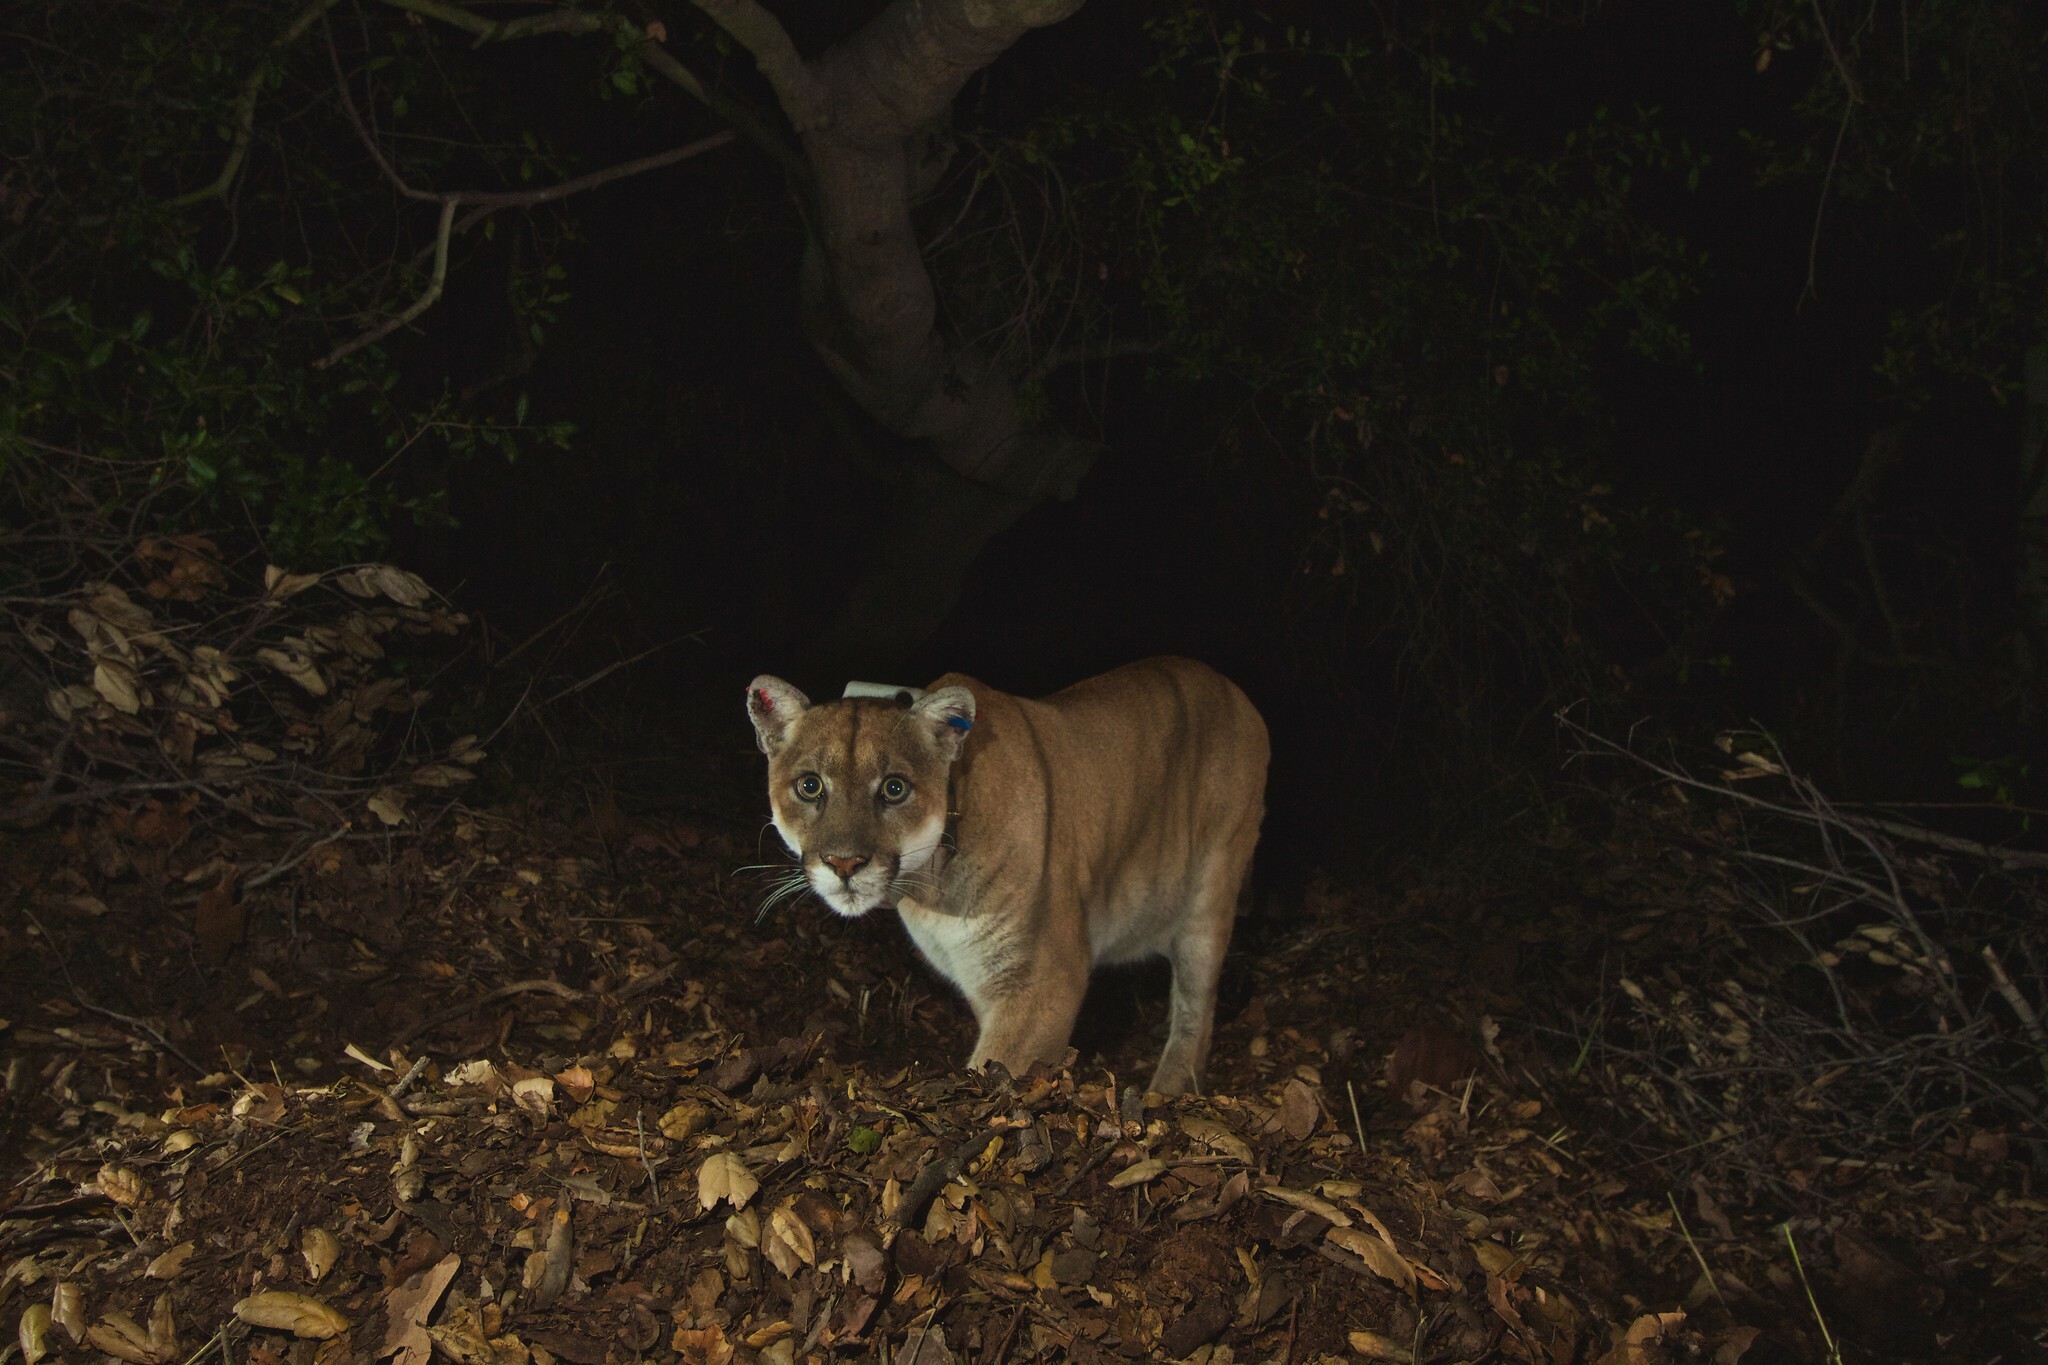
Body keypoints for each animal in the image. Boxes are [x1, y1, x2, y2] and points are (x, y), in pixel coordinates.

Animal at [749, 654, 1261, 1096]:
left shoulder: (1042, 982)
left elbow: (997, 1069)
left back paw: (1170, 1090)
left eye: (894, 789)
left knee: (1197, 1008)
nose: (844, 863)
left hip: (1210, 892)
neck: (930, 887)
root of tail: (1232, 687)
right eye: (810, 786)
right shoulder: (981, 976)